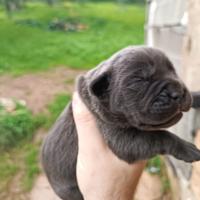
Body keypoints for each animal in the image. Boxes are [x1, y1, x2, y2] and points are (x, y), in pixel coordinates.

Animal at [41, 46, 200, 200]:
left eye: (173, 71)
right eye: (140, 80)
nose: (178, 92)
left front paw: (197, 96)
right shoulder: (121, 139)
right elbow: (160, 136)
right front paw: (187, 148)